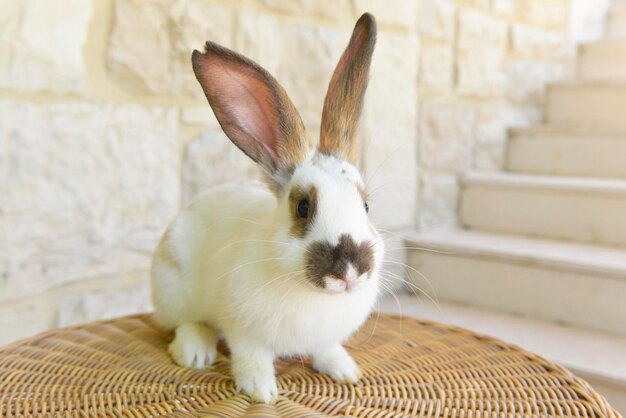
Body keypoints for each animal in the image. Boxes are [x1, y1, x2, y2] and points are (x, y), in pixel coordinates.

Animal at [152, 13, 386, 404]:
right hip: (174, 290)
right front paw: (261, 391)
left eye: (365, 205)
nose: (351, 271)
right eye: (303, 207)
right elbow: (252, 358)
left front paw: (345, 371)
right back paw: (194, 351)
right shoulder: (244, 333)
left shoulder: (325, 338)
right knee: (185, 323)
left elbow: (327, 350)